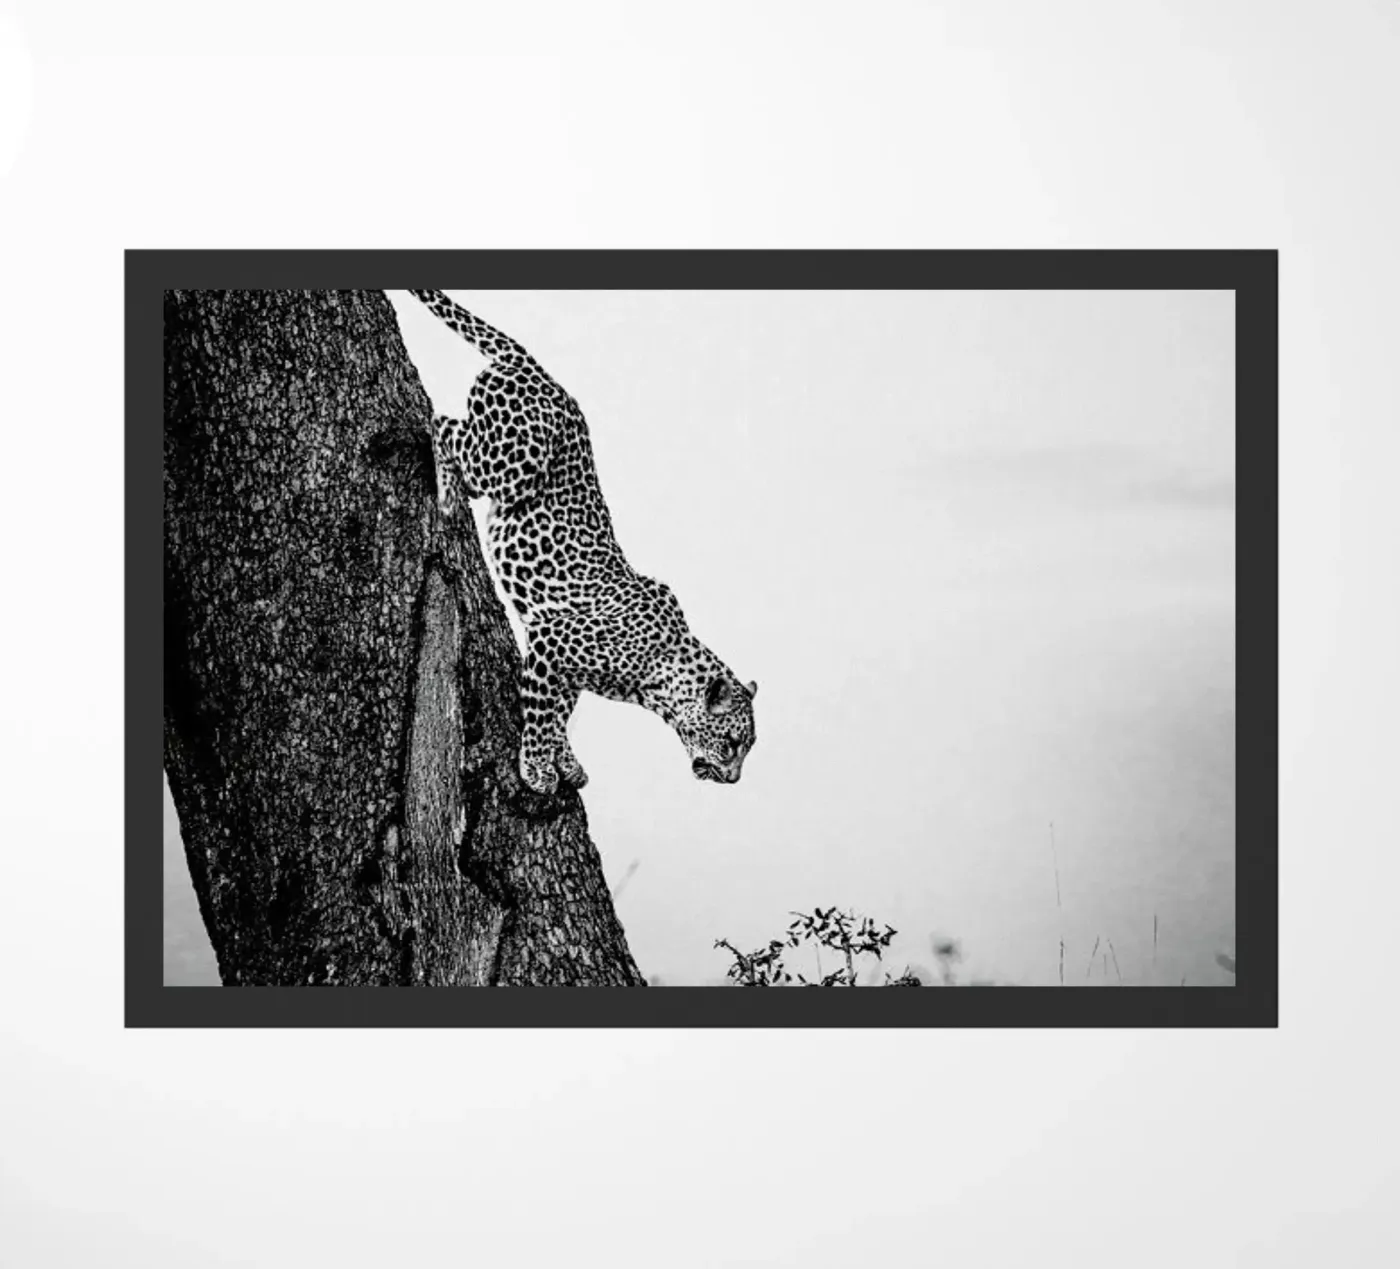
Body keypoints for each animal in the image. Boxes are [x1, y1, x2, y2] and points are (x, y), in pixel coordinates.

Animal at [407, 289, 757, 795]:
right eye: (731, 744)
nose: (732, 780)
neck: (660, 674)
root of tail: (538, 371)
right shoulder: (550, 640)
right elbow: (538, 715)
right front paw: (535, 768)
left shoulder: (561, 663)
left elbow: (557, 713)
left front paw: (564, 760)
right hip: (513, 462)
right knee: (443, 423)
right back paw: (449, 498)